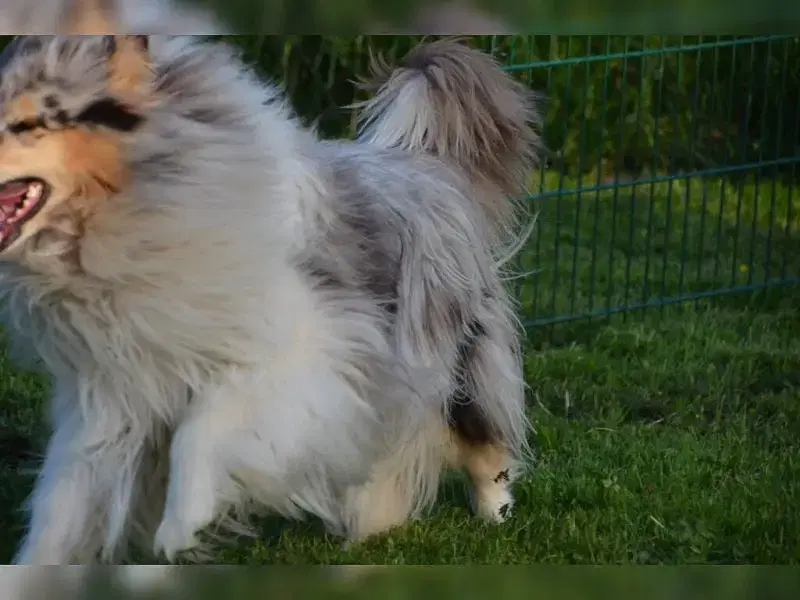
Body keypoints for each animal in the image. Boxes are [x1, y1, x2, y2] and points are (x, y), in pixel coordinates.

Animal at [0, 4, 541, 565]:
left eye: (25, 124)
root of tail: (426, 162)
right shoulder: (107, 393)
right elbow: (64, 498)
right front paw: (36, 565)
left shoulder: (304, 357)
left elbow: (202, 429)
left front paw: (181, 527)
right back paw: (369, 528)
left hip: (452, 359)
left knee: (482, 440)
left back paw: (494, 514)